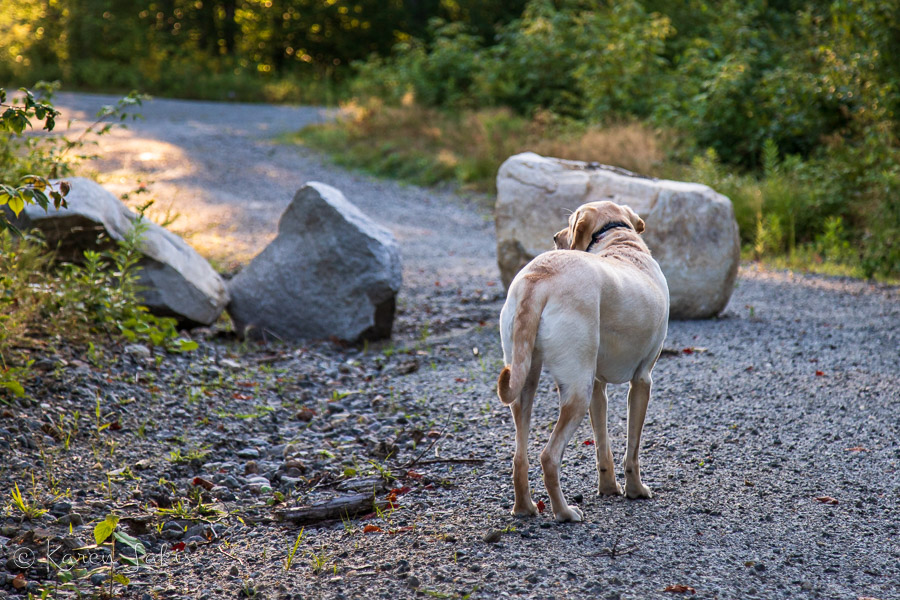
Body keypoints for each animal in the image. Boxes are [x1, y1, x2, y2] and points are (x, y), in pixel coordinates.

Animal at [500, 200, 668, 520]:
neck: (617, 239)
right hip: (577, 393)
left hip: (527, 384)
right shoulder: (642, 381)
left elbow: (603, 447)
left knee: (519, 457)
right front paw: (636, 491)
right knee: (548, 457)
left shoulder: (598, 389)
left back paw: (525, 508)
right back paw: (564, 513)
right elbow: (632, 450)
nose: (555, 236)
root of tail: (538, 278)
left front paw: (609, 488)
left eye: (569, 223)